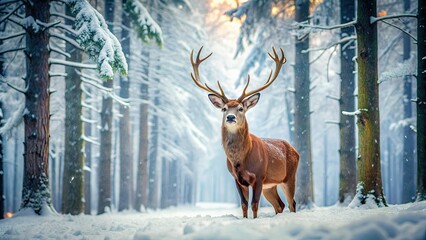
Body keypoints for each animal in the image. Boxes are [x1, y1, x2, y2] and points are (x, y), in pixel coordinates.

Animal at [190, 46, 300, 218]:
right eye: (224, 108)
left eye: (241, 108)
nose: (230, 117)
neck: (240, 160)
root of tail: (295, 150)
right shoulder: (237, 179)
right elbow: (243, 205)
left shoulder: (259, 176)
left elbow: (254, 204)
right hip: (271, 185)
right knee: (280, 205)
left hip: (289, 176)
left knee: (292, 203)